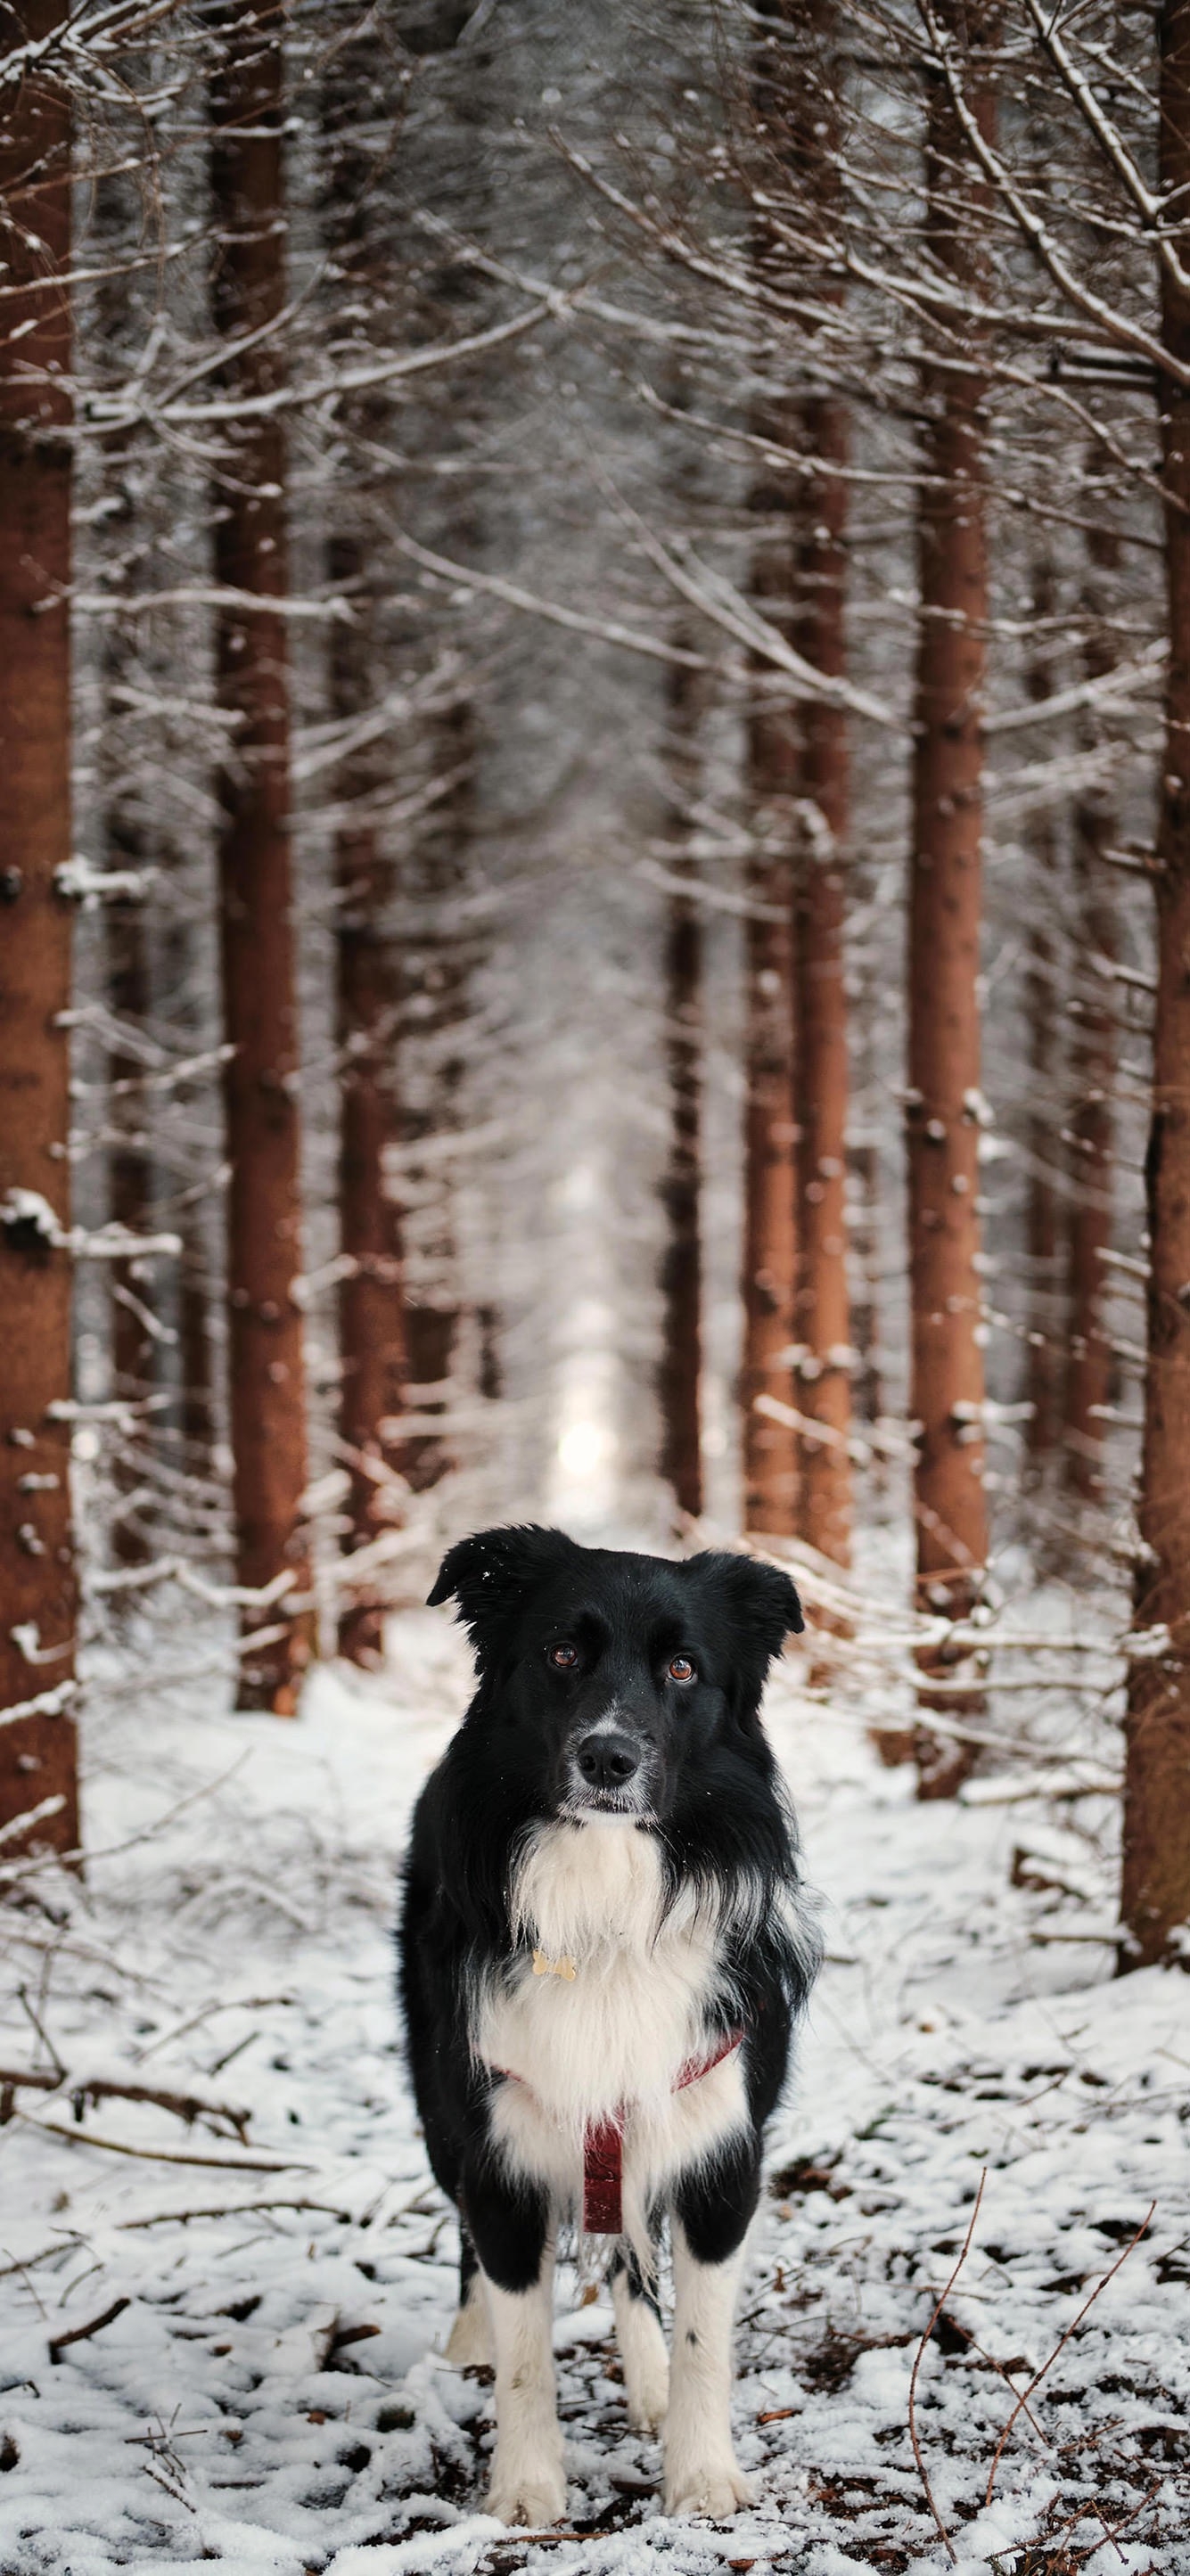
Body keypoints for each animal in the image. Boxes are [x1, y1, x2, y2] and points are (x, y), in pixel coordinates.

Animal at [398, 1524, 818, 2514]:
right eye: (561, 1654)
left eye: (681, 1667)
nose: (608, 1758)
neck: (605, 1890)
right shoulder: (499, 2151)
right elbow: (525, 2356)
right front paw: (523, 2489)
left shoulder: (718, 2150)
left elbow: (704, 2341)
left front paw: (701, 2474)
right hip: (441, 2111)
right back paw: (466, 2344)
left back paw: (649, 2379)